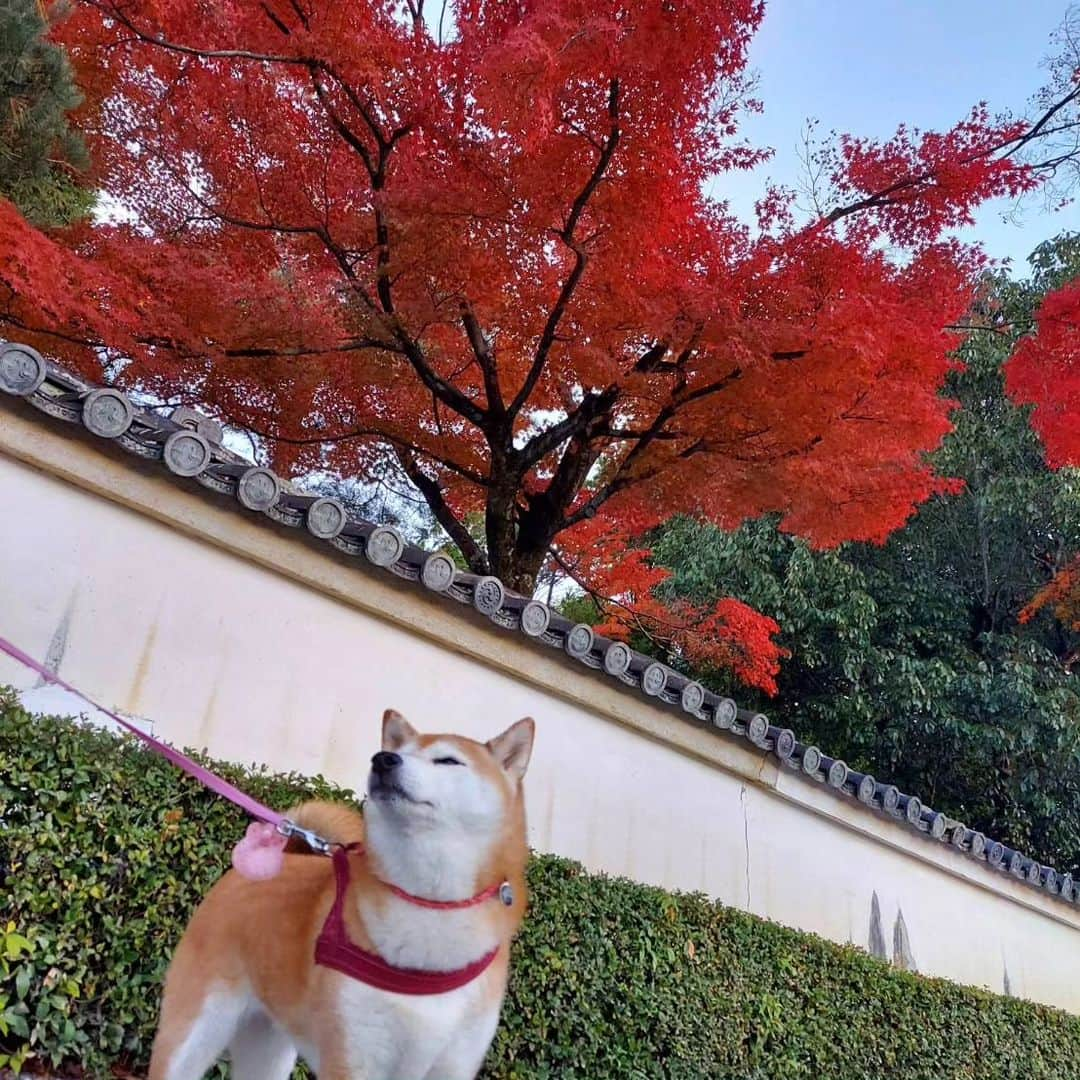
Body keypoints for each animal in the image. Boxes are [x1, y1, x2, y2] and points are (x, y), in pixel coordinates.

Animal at [150, 708, 537, 1080]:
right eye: (399, 751)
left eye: (448, 760)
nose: (383, 759)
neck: (430, 905)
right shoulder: (352, 1058)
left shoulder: (453, 1066)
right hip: (192, 1036)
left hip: (269, 1050)